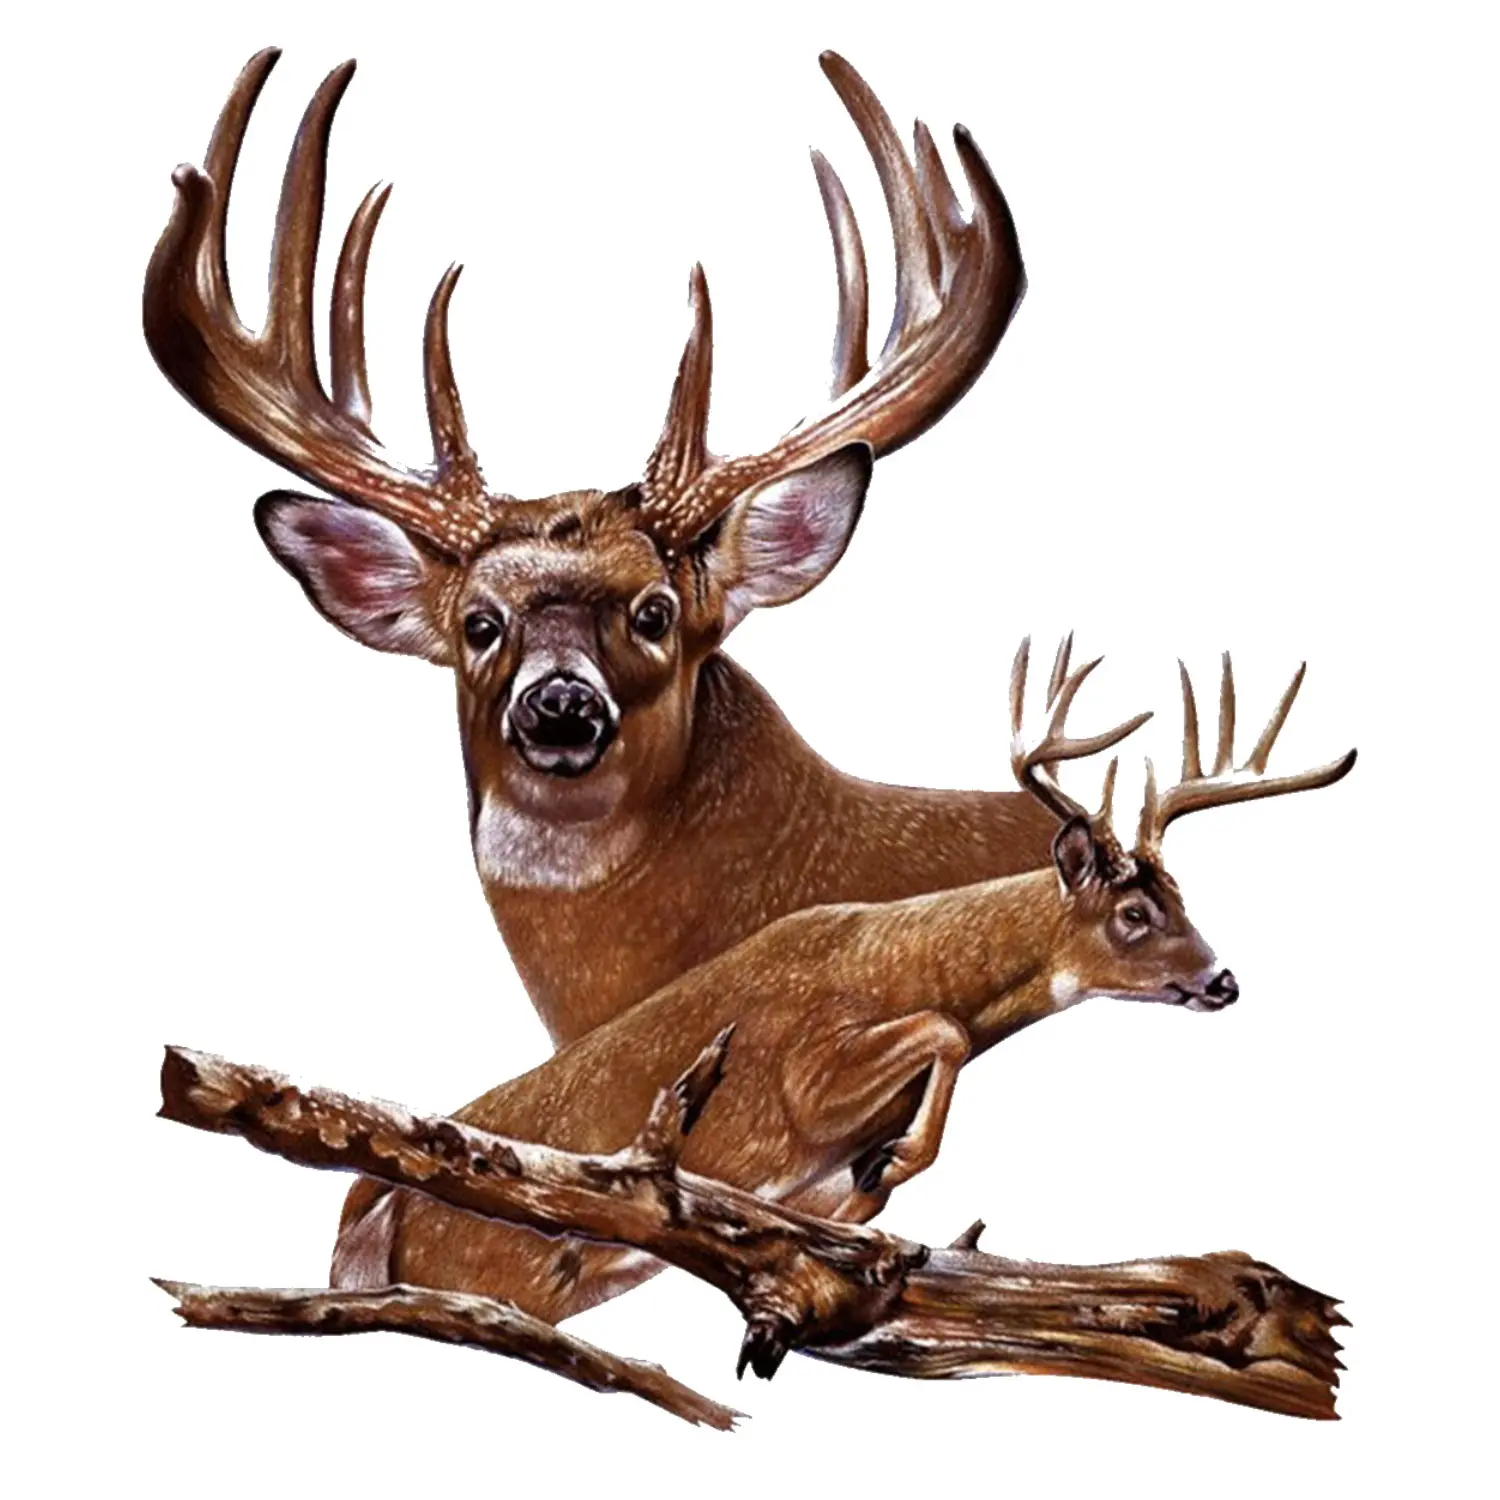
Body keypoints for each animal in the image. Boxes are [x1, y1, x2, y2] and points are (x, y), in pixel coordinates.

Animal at [330, 638, 1354, 1321]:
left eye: (1183, 894)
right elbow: (942, 1032)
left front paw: (883, 1186)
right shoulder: (803, 1072)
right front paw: (896, 1158)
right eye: (1135, 915)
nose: (1223, 979)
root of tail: (355, 1221)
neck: (896, 955)